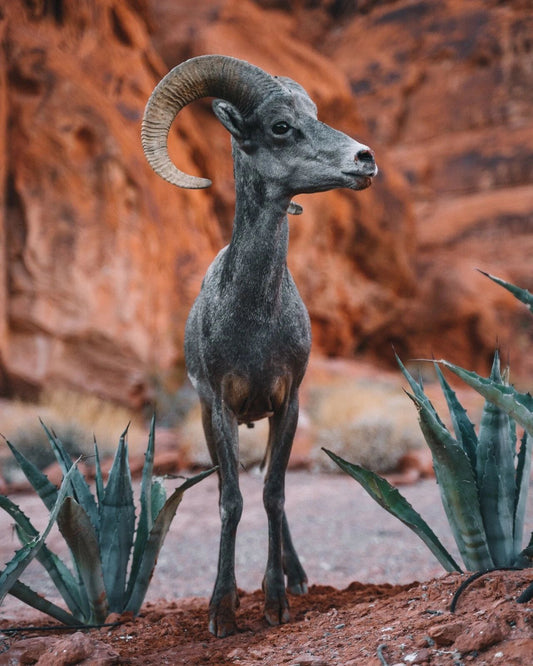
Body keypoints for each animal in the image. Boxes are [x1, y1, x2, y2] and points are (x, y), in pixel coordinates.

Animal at [141, 55, 377, 637]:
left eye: (313, 114)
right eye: (281, 126)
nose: (365, 160)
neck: (253, 321)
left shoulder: (286, 405)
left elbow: (273, 493)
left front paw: (276, 603)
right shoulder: (219, 410)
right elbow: (231, 501)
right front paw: (221, 613)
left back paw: (298, 578)